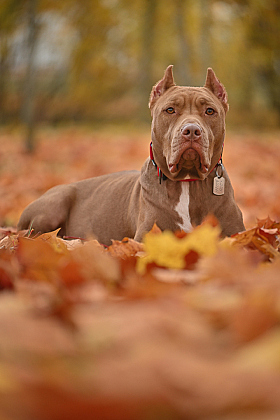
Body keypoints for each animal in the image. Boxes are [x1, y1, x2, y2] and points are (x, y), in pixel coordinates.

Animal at [18, 64, 244, 244]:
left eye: (210, 111)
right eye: (170, 110)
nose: (191, 131)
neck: (187, 182)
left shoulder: (235, 233)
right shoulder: (146, 236)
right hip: (54, 205)